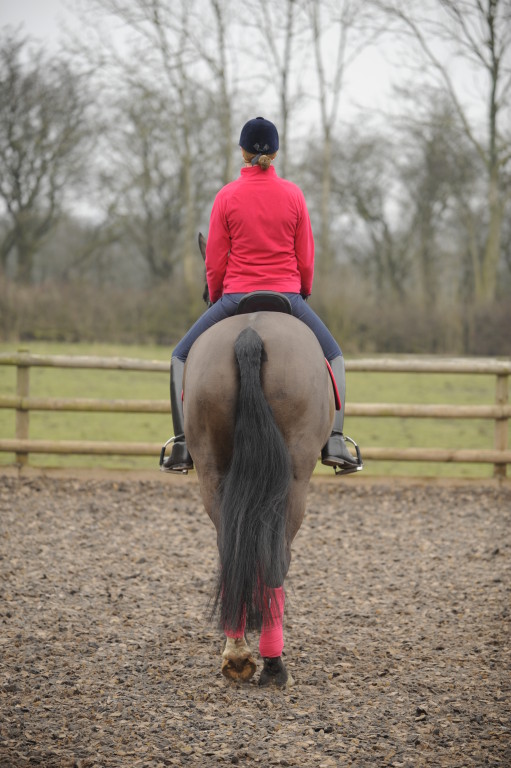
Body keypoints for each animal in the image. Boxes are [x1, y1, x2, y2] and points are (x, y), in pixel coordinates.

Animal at [179, 237, 336, 687]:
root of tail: (251, 334)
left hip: (213, 470)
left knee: (229, 545)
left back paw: (237, 651)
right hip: (295, 480)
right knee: (276, 557)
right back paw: (271, 663)